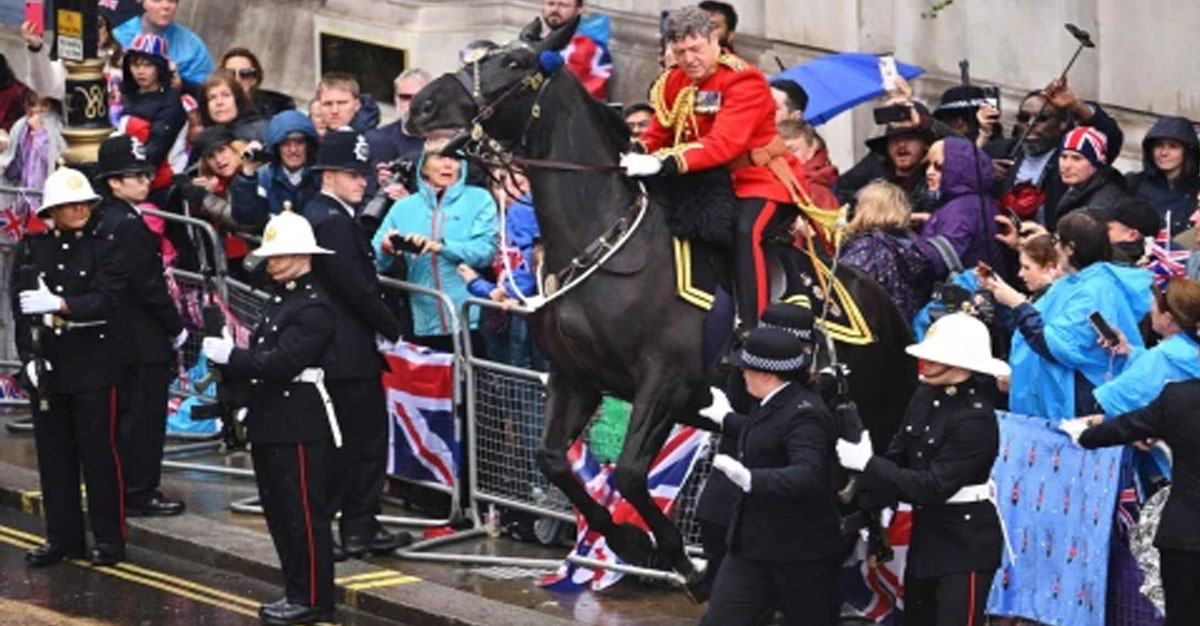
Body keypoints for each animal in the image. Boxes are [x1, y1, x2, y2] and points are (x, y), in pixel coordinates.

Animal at [408, 17, 912, 587]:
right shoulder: (576, 379)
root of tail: (897, 317)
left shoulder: (664, 386)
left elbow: (628, 473)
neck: (608, 241)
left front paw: (667, 554)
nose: (422, 105)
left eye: (515, 64)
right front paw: (627, 538)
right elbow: (552, 459)